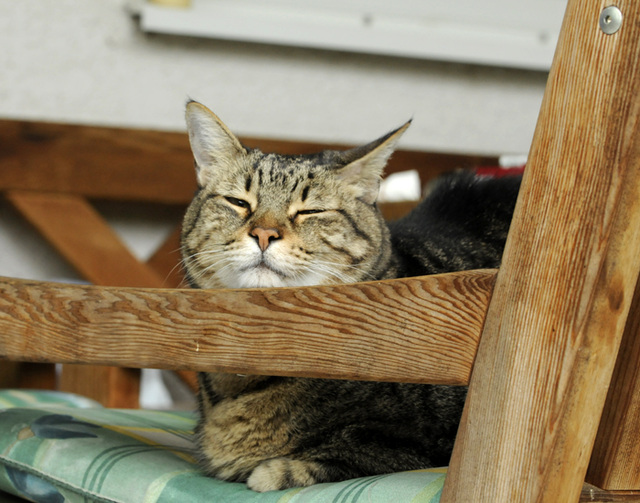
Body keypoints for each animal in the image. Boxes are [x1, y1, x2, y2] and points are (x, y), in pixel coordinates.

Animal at [180, 101, 520, 492]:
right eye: (238, 202)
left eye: (310, 211)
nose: (264, 233)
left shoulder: (422, 444)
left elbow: (319, 459)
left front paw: (269, 471)